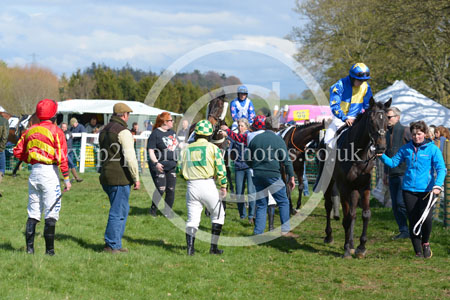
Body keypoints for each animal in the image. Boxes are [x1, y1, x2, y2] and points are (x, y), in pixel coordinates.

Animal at [322, 98, 392, 258]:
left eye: (387, 120)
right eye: (371, 121)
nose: (381, 147)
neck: (357, 153)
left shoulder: (364, 186)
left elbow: (365, 214)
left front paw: (361, 247)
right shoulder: (344, 187)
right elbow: (347, 217)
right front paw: (347, 248)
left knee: (353, 212)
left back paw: (352, 242)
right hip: (329, 181)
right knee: (329, 205)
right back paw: (329, 236)